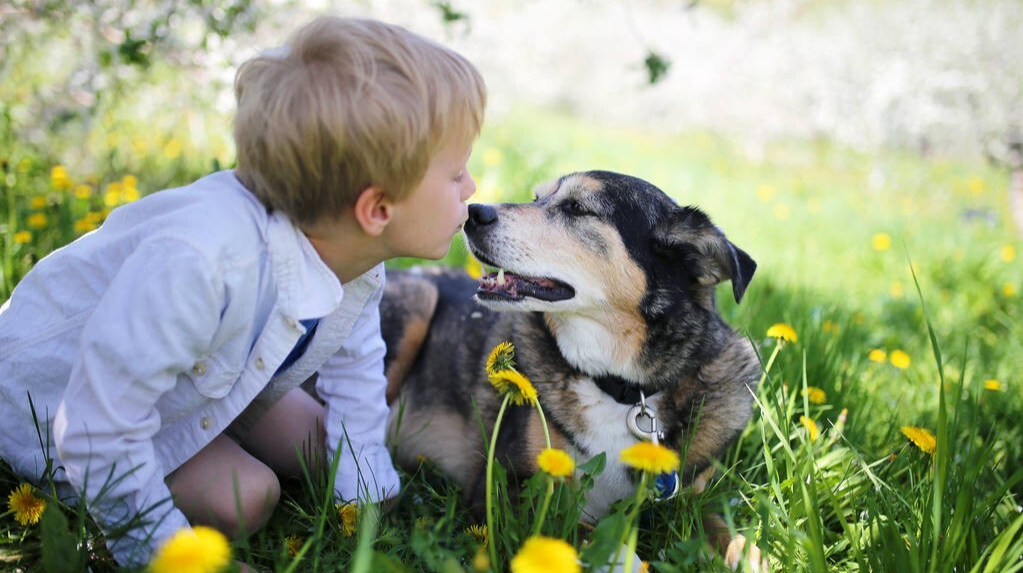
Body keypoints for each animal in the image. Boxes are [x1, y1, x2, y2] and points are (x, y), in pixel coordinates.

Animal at [380, 169, 765, 568]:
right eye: (537, 198)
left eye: (577, 208)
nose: (472, 212)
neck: (621, 390)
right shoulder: (510, 492)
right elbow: (608, 547)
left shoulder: (688, 501)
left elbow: (734, 538)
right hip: (418, 300)